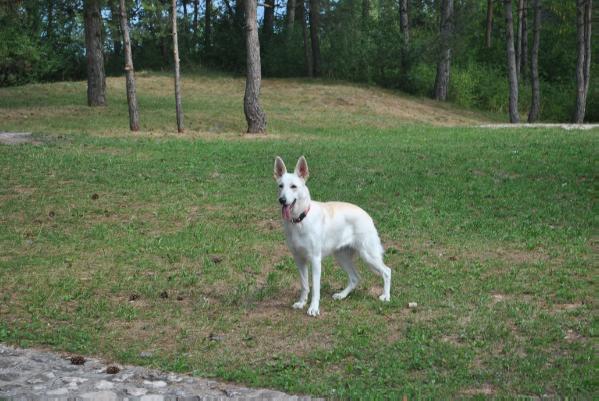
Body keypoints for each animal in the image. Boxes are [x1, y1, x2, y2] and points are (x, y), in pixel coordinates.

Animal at [274, 156, 392, 316]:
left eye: (293, 186)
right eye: (281, 186)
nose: (282, 200)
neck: (300, 220)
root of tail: (367, 215)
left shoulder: (315, 260)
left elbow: (315, 289)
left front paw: (313, 308)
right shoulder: (299, 260)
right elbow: (304, 285)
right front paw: (301, 302)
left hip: (368, 255)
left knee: (387, 271)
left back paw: (386, 296)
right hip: (341, 257)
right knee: (355, 278)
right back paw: (342, 295)